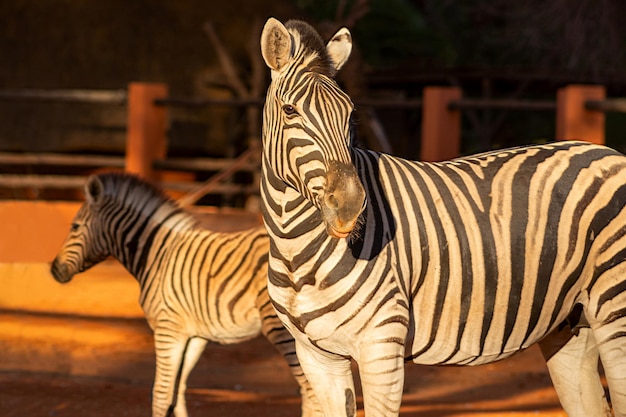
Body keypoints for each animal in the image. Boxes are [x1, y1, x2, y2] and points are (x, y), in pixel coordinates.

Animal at [49, 171, 322, 416]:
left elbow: (160, 395)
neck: (156, 254)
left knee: (311, 393)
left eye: (75, 226)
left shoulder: (167, 329)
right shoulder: (193, 336)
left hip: (284, 330)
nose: (54, 270)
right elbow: (176, 393)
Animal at [256, 17, 624, 416]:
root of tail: (609, 152)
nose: (351, 207)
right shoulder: (316, 356)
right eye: (290, 111)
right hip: (570, 323)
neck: (295, 249)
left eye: (351, 115)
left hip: (615, 309)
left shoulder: (381, 346)